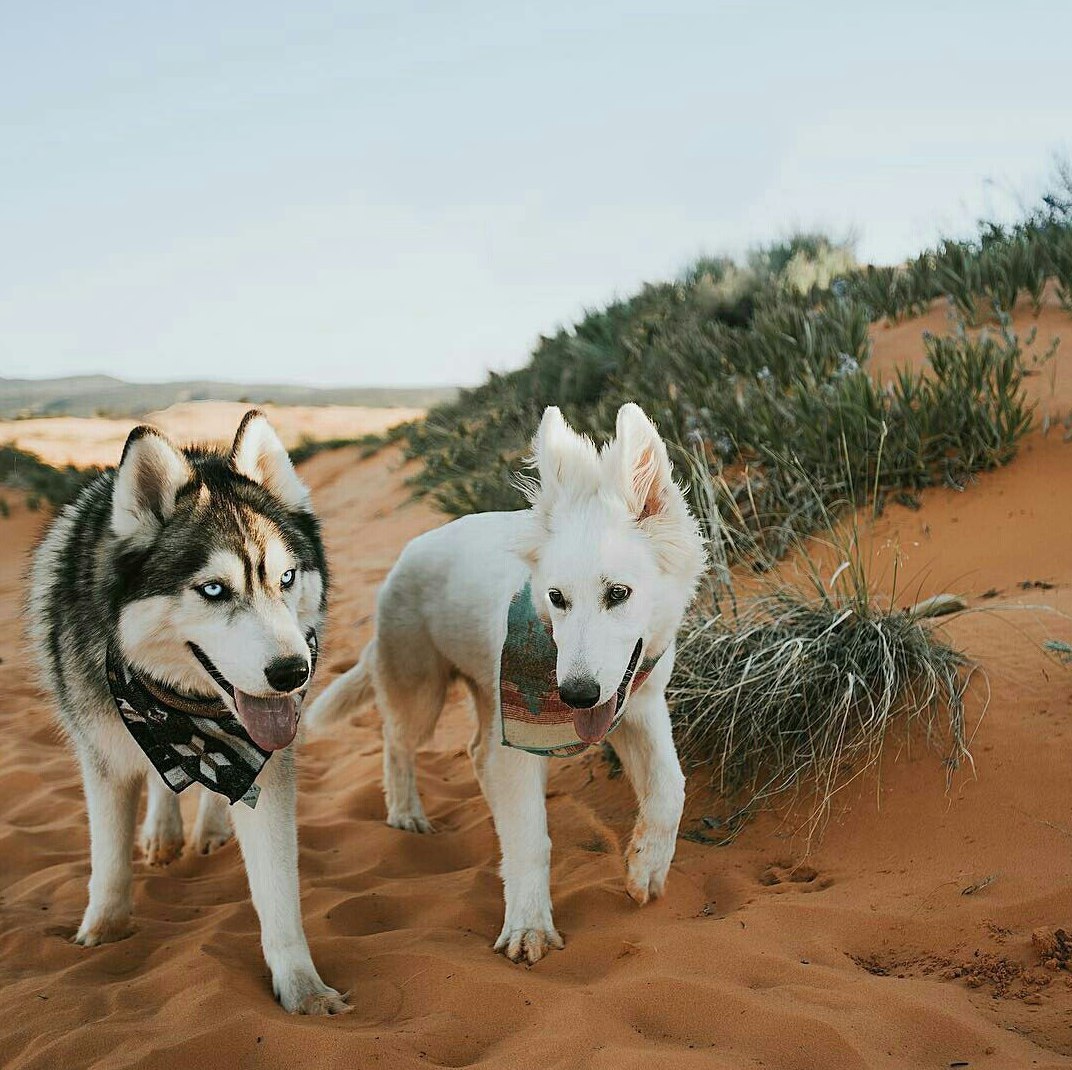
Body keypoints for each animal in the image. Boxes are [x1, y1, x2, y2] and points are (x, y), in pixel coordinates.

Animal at [29, 413, 347, 1016]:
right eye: (214, 589)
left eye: (287, 578)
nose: (293, 673)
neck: (182, 710)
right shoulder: (103, 755)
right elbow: (108, 859)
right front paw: (102, 933)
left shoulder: (263, 763)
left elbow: (278, 891)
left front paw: (302, 989)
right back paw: (163, 832)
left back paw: (205, 829)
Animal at [308, 403, 703, 964]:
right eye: (556, 598)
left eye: (618, 593)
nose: (575, 696)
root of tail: (408, 553)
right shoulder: (525, 738)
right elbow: (531, 841)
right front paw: (528, 925)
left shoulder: (639, 705)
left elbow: (670, 788)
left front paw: (646, 867)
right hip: (423, 693)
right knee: (397, 743)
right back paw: (406, 813)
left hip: (485, 698)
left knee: (477, 753)